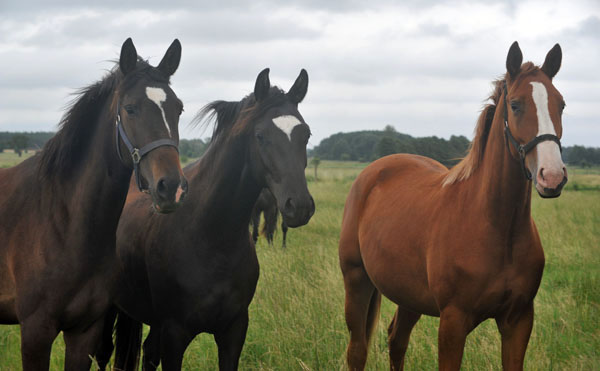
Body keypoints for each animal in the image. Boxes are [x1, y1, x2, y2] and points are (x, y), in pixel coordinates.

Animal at [0, 37, 188, 370]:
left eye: (178, 109)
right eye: (130, 108)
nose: (171, 188)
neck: (62, 223)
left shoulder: (85, 332)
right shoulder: (35, 332)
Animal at [103, 68, 316, 370]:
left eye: (306, 134)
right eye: (260, 135)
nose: (299, 206)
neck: (210, 236)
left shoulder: (233, 331)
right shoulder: (174, 334)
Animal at [342, 42, 568, 370]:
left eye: (560, 104)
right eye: (515, 105)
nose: (551, 176)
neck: (498, 227)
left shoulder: (518, 321)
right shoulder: (453, 322)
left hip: (409, 296)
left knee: (397, 341)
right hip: (356, 280)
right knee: (357, 350)